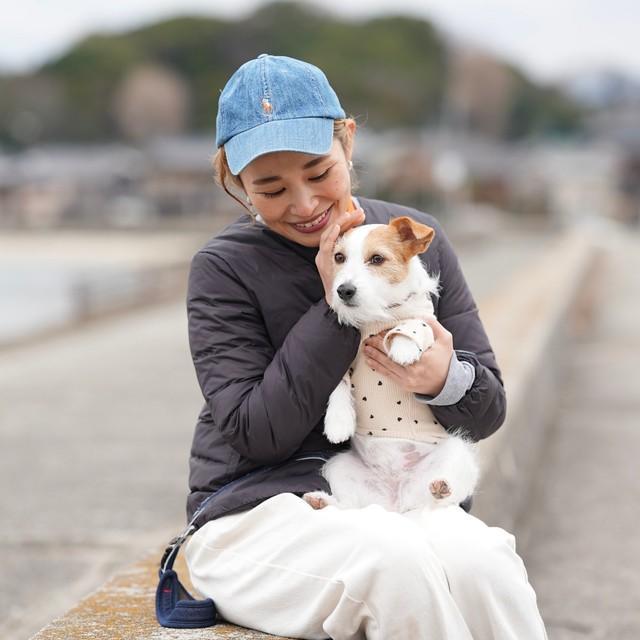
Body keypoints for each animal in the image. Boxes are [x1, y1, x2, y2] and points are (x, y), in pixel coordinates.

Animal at [304, 218, 480, 512]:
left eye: (377, 259)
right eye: (338, 257)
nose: (343, 290)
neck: (376, 316)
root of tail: (395, 502)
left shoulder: (431, 327)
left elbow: (413, 326)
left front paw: (403, 347)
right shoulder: (343, 358)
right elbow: (338, 384)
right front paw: (338, 421)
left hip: (457, 451)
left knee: (438, 499)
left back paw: (441, 487)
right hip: (339, 467)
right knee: (350, 507)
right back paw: (322, 501)